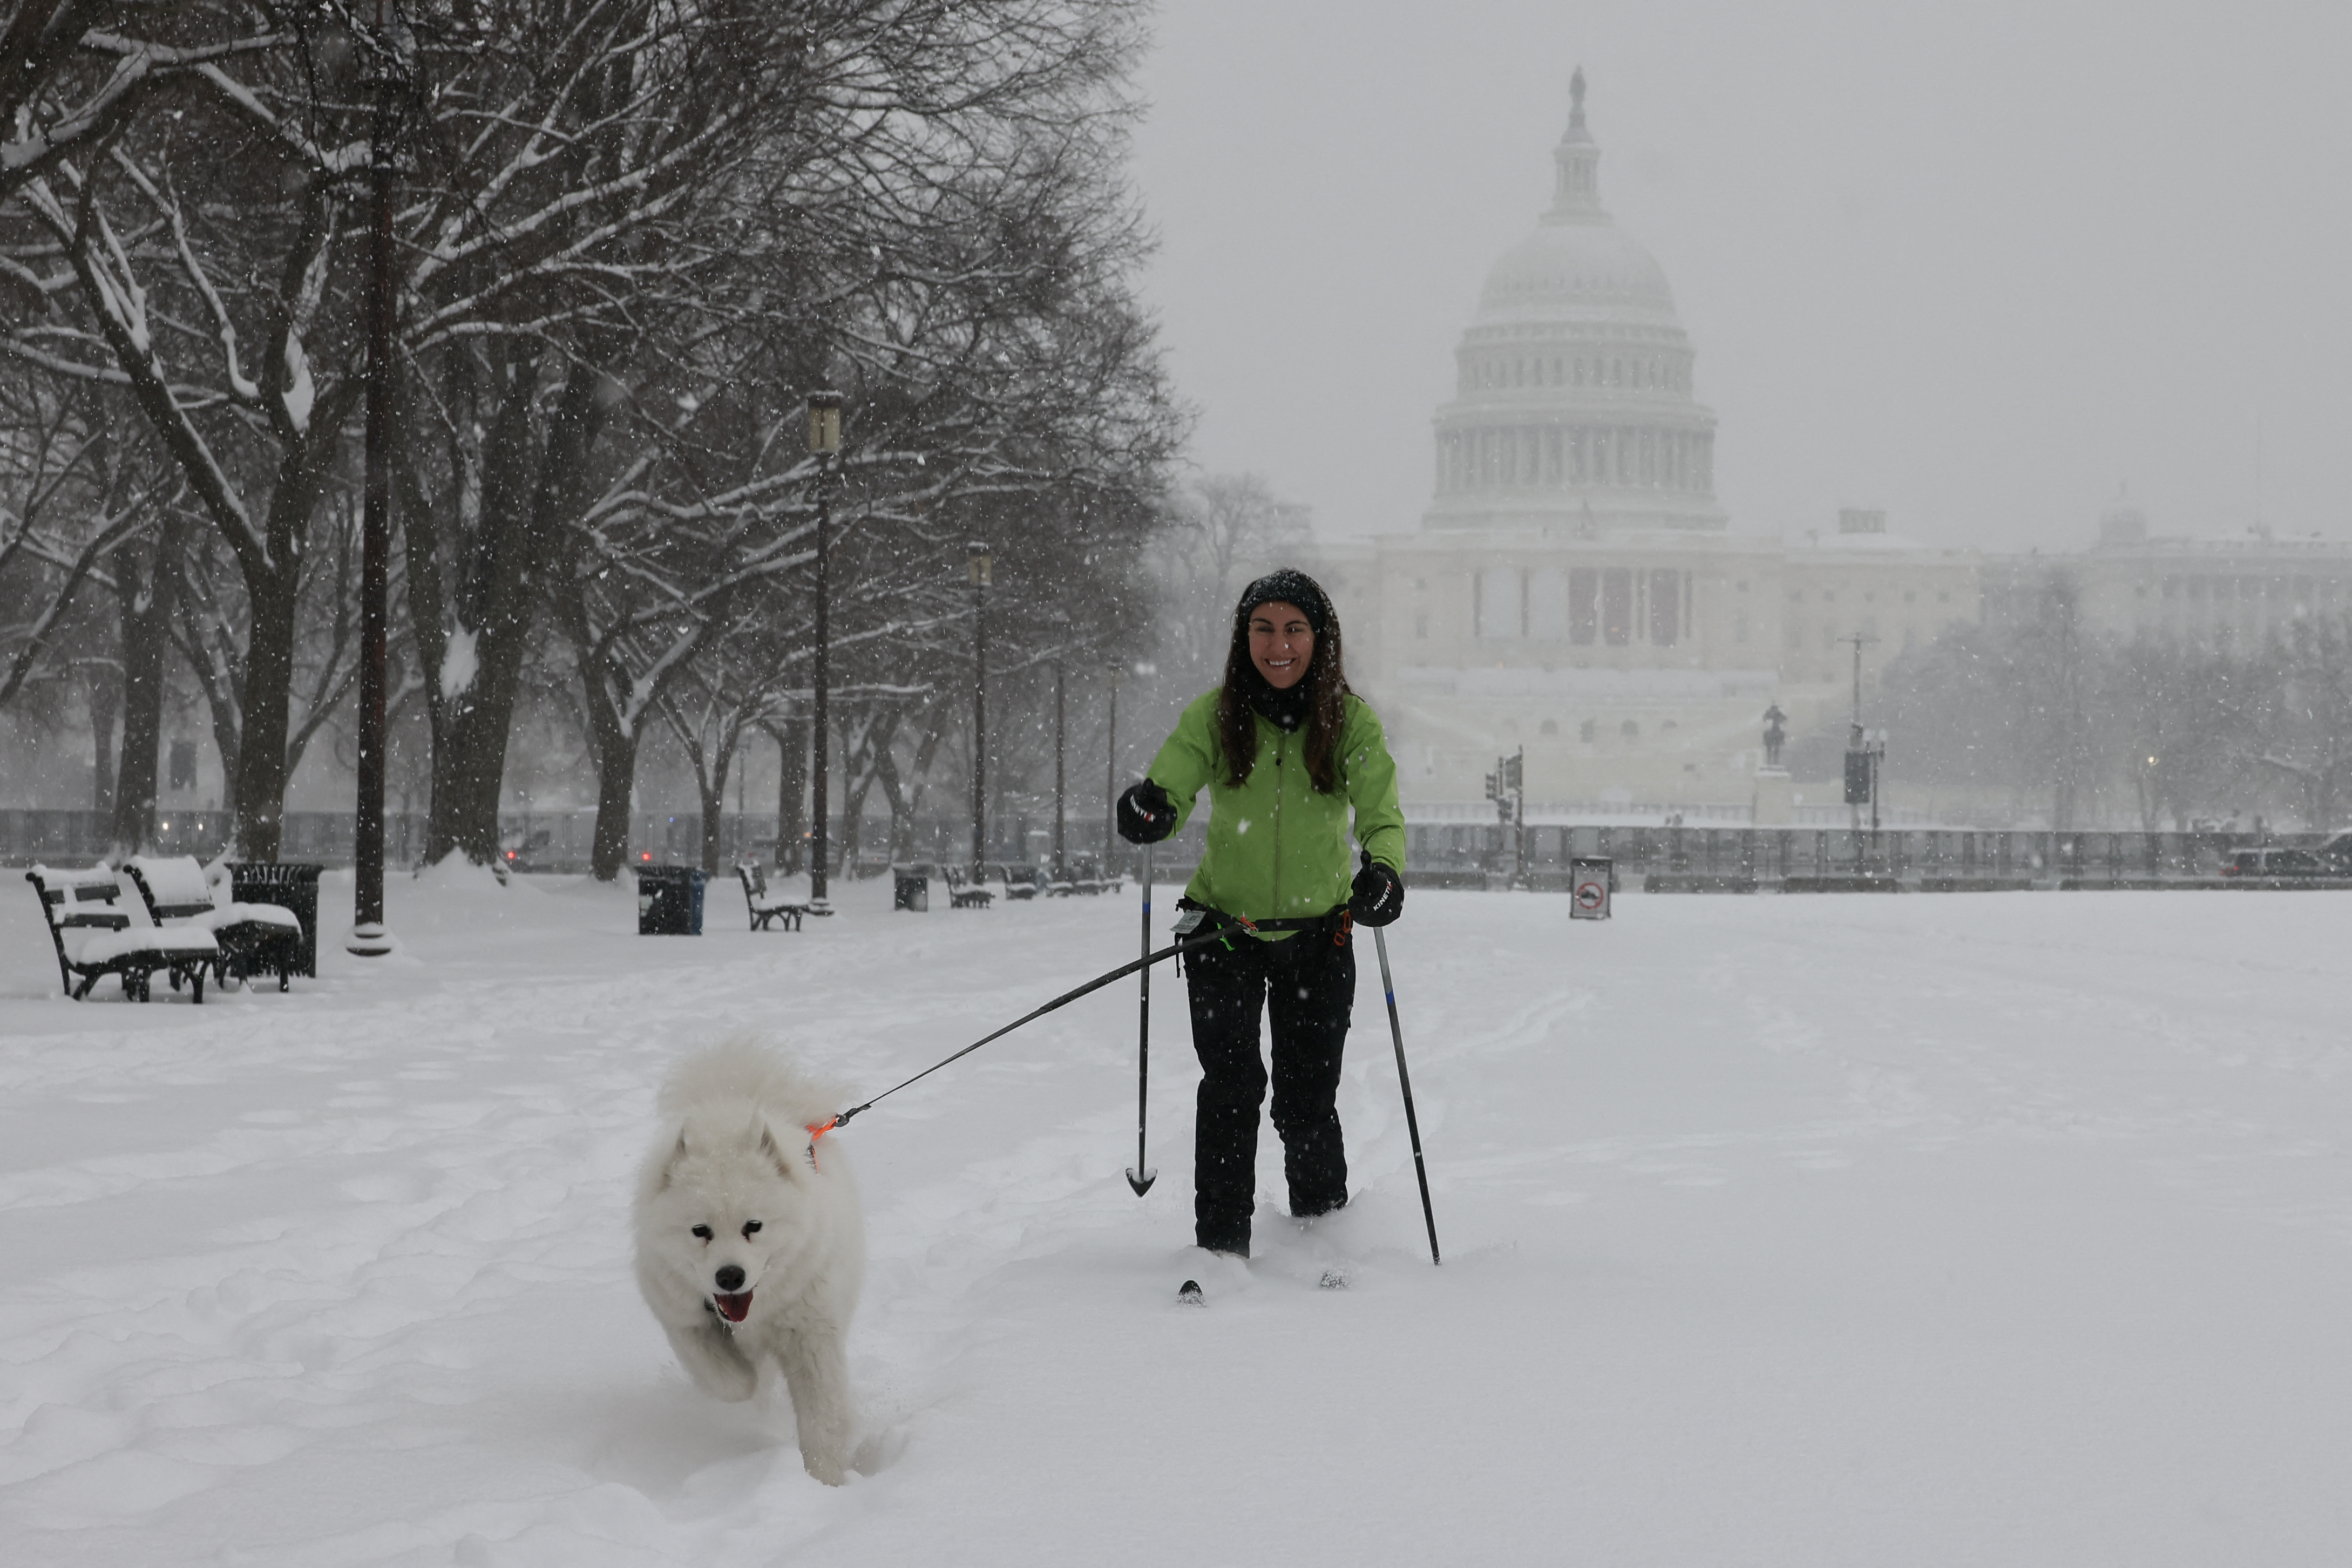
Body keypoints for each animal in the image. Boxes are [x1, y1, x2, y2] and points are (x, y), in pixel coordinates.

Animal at [635, 1043, 865, 1485]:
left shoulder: (813, 1337)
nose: (730, 1276)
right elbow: (728, 1379)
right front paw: (748, 1384)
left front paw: (824, 1481)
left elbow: (823, 1419)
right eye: (700, 1230)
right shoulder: (681, 1316)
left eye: (753, 1226)